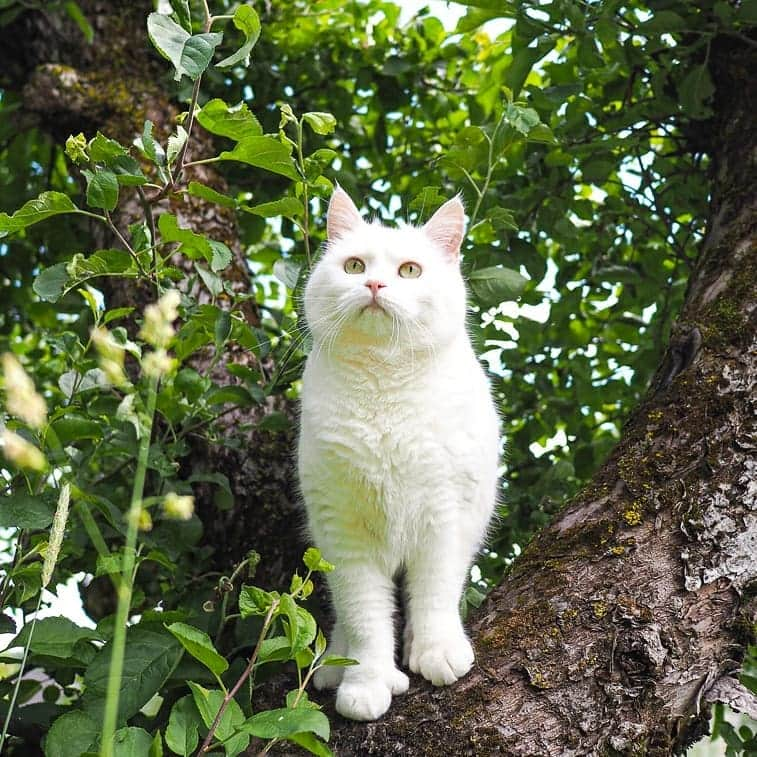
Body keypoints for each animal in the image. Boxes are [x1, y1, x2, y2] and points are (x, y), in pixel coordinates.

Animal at [296, 189, 502, 720]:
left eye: (410, 270)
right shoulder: (344, 533)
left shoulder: (444, 516)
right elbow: (366, 619)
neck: (382, 384)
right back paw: (334, 663)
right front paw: (366, 683)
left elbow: (433, 595)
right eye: (353, 265)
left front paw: (436, 652)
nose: (374, 283)